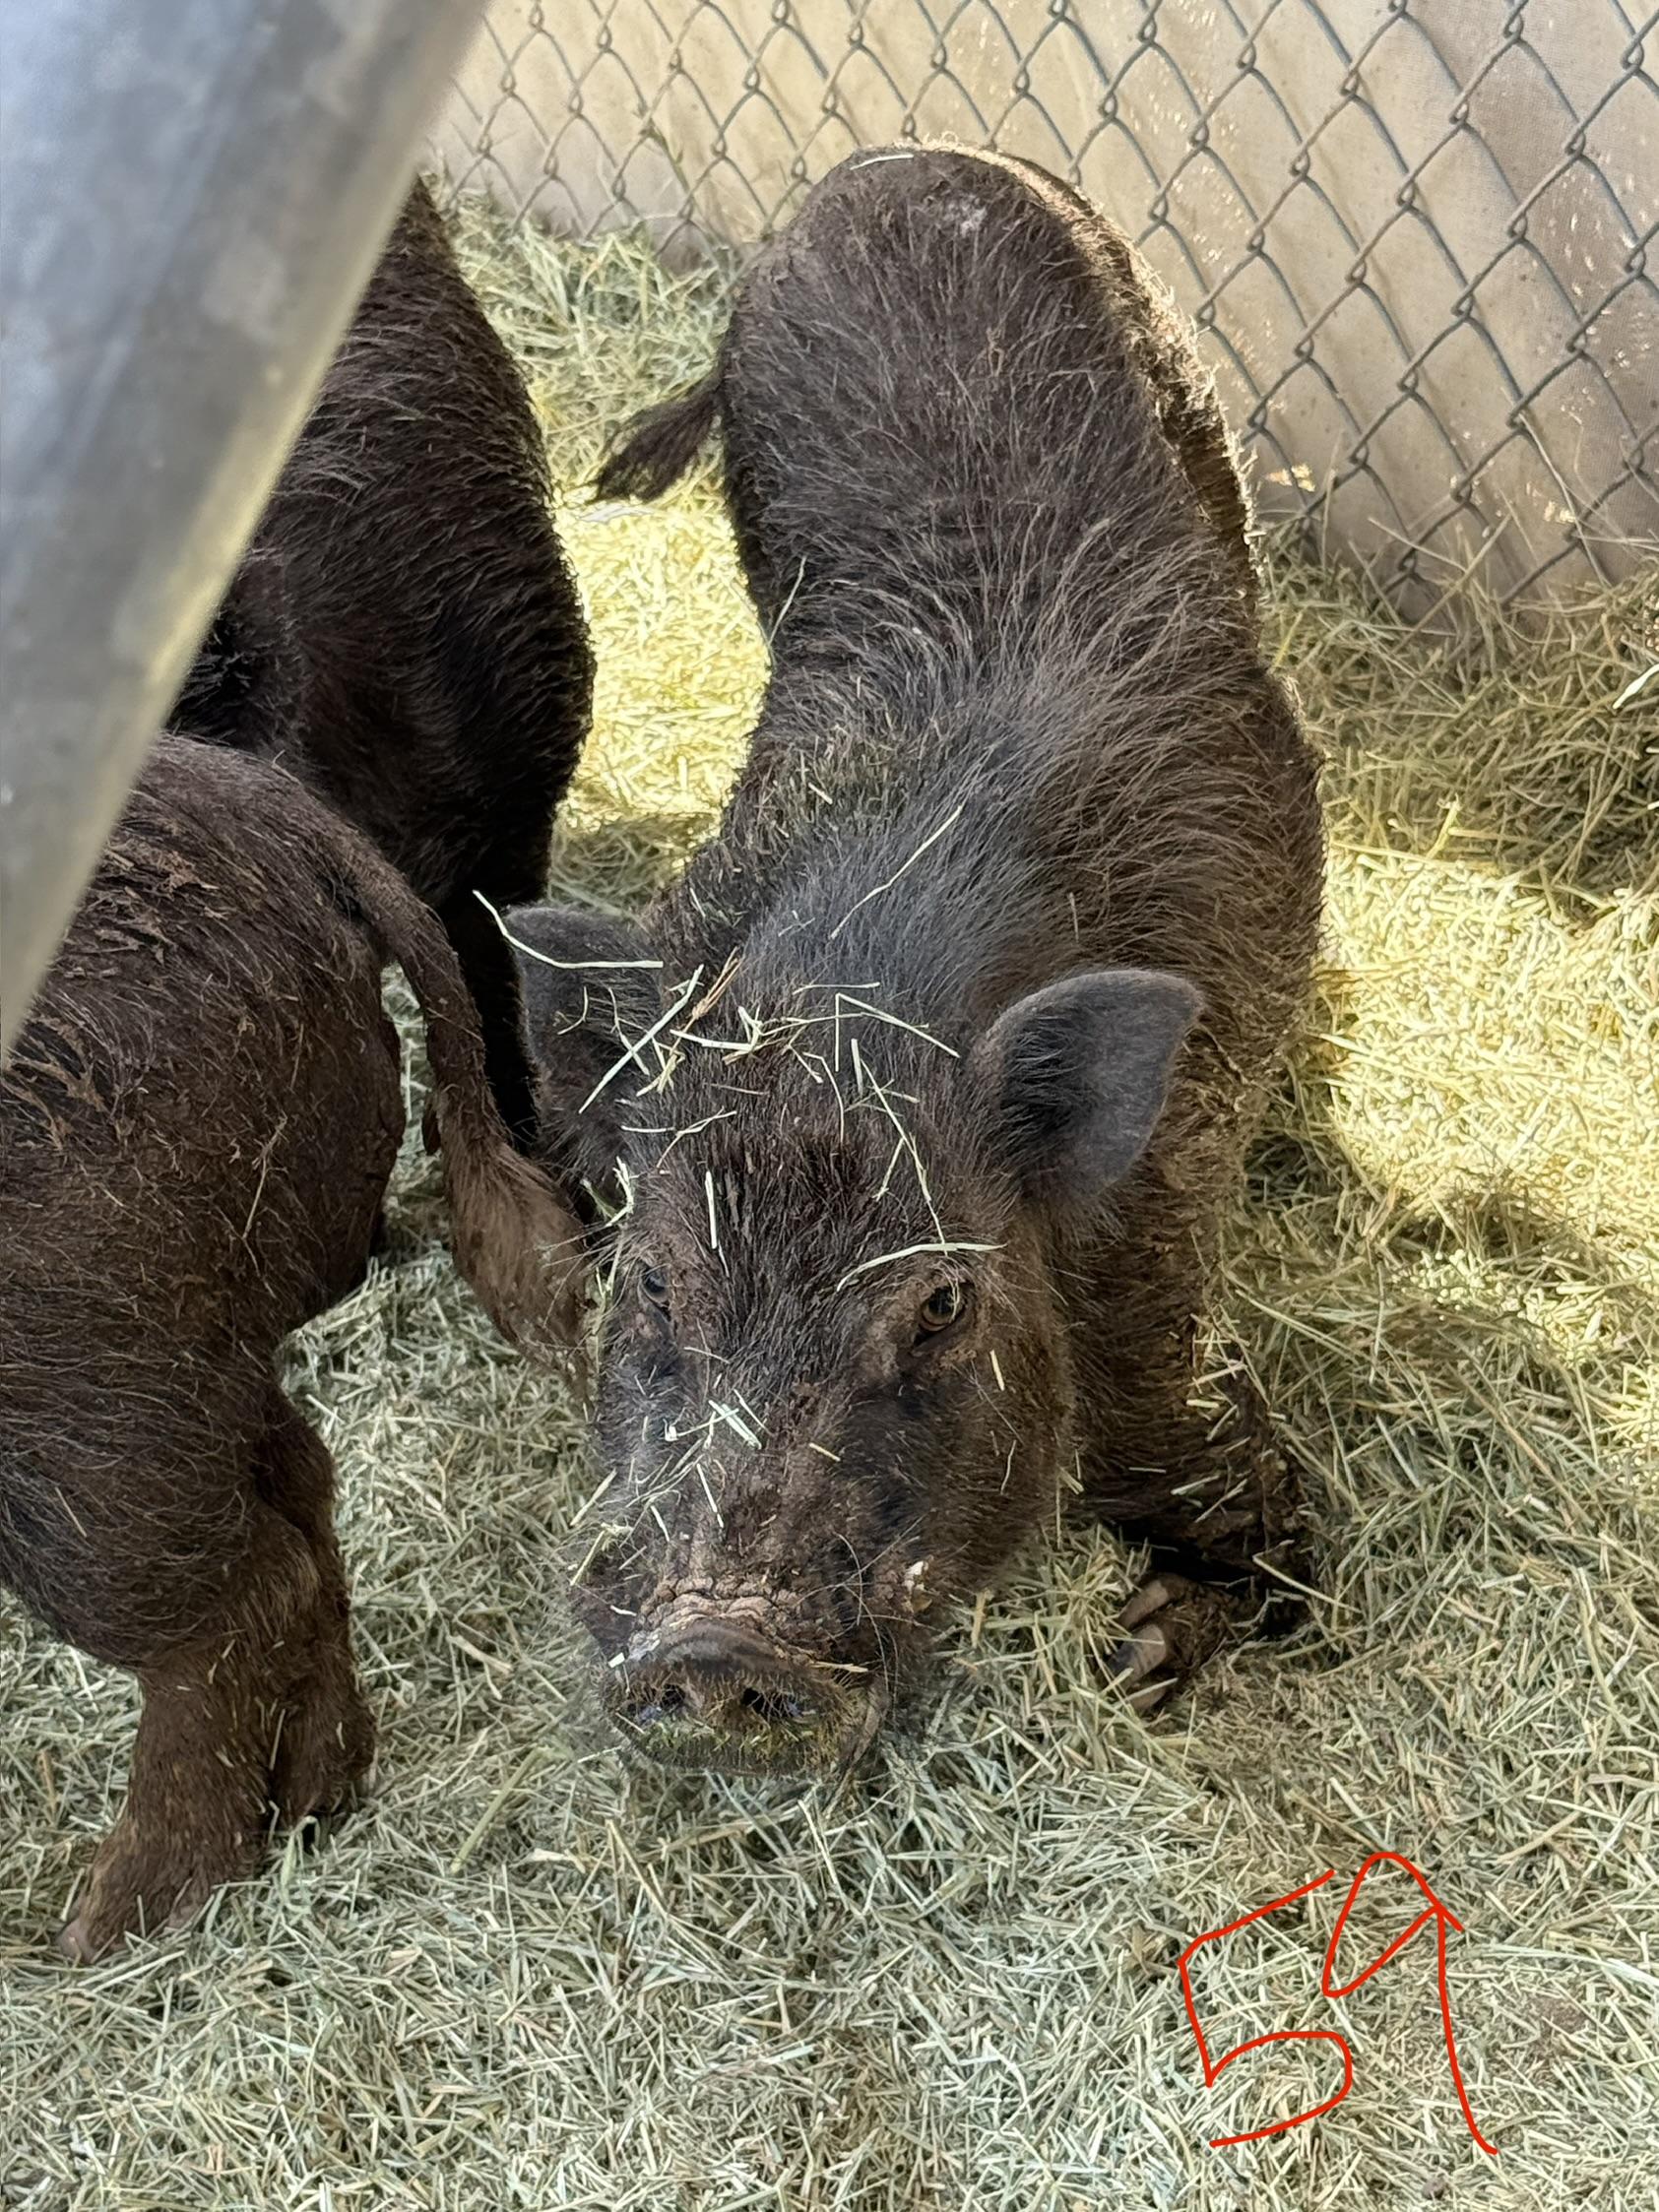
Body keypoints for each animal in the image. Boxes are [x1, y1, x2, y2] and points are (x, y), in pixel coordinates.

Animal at [0, 736, 584, 1959]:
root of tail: (287, 824)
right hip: (188, 1351)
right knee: (304, 1497)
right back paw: (315, 1806)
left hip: (84, 1381)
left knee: (245, 1592)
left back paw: (106, 1931)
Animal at [513, 147, 1323, 1777]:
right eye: (649, 1274)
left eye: (943, 1303)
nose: (713, 1645)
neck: (858, 990)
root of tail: (892, 163)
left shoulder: (1158, 1288)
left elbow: (1285, 1542)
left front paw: (1141, 1651)